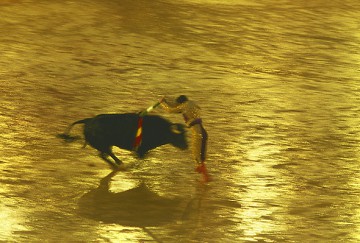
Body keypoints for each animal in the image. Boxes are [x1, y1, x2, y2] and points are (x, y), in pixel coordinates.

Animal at [58, 113, 188, 167]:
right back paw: (120, 163)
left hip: (104, 144)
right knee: (107, 153)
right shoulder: (142, 149)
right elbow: (141, 157)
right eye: (179, 136)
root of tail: (88, 120)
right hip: (103, 144)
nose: (186, 147)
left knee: (103, 154)